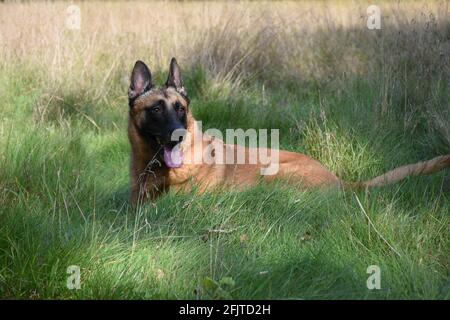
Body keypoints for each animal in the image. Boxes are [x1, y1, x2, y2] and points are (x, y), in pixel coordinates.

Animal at [127, 58, 450, 206]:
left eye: (180, 108)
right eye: (156, 110)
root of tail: (339, 180)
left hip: (277, 172)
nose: (179, 135)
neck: (153, 167)